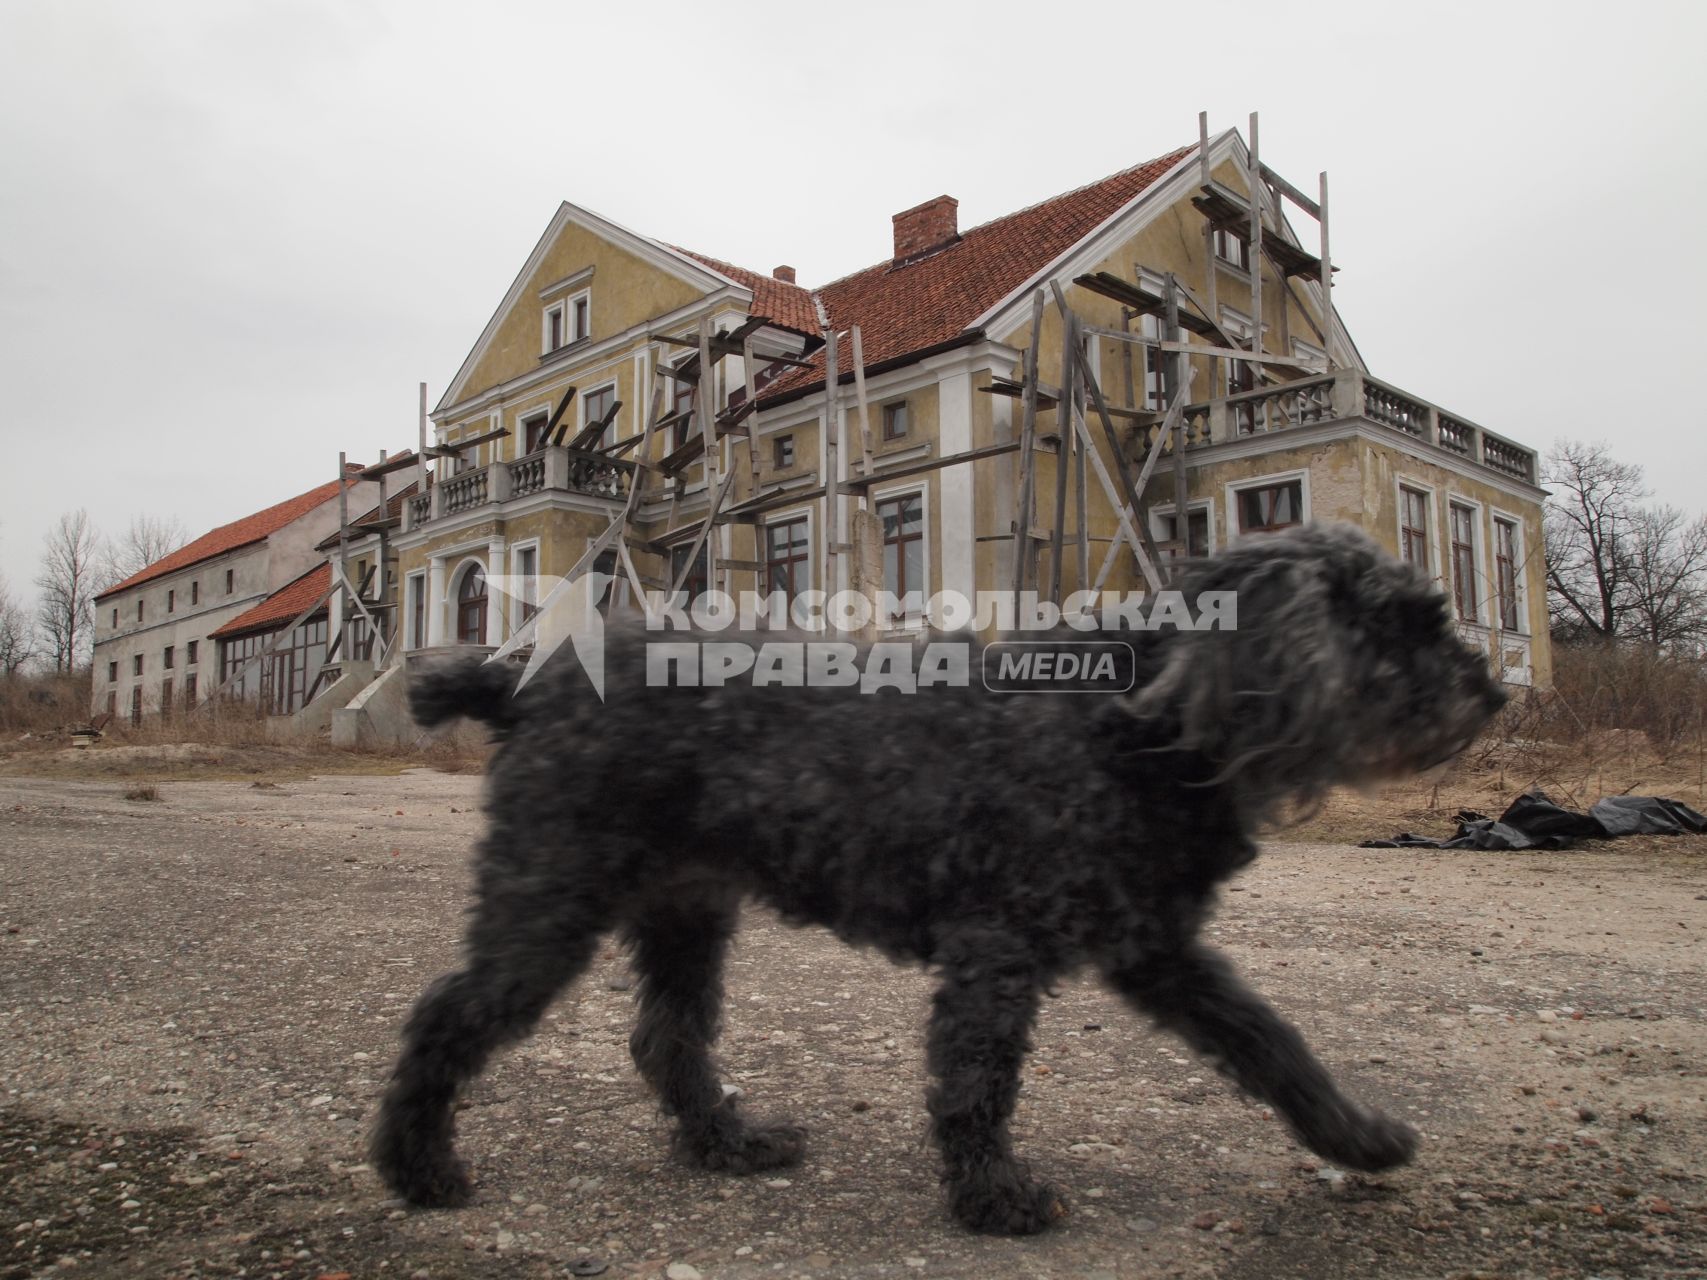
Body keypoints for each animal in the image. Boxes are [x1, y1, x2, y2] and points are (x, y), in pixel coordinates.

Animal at [377, 525, 1508, 1235]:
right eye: (1400, 624)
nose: (1492, 693)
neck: (1133, 720)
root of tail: (523, 684)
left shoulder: (1160, 950)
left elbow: (1276, 1046)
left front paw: (1357, 1137)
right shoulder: (997, 950)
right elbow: (975, 1083)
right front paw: (994, 1199)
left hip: (686, 911)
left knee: (666, 1039)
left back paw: (731, 1143)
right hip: (550, 897)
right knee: (445, 1014)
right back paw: (415, 1168)